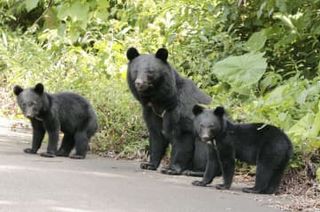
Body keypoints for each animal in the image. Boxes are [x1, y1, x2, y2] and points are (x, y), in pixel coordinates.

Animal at [126, 47, 211, 175]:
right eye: (135, 71)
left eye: (150, 72)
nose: (139, 83)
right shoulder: (151, 111)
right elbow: (156, 135)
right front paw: (148, 164)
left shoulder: (180, 109)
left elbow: (182, 135)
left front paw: (171, 169)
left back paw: (195, 172)